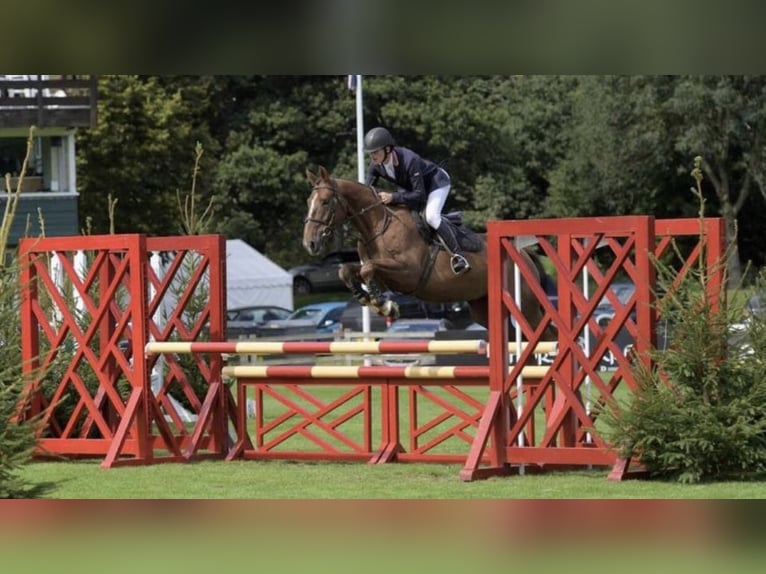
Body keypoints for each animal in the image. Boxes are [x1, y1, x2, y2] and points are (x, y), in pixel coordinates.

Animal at [302, 166, 552, 336]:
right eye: (308, 201)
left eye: (325, 202)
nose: (309, 243)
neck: (378, 225)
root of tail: (525, 255)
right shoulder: (384, 276)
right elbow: (347, 270)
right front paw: (368, 298)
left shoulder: (409, 273)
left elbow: (368, 269)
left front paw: (384, 306)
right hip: (484, 307)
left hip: (527, 307)